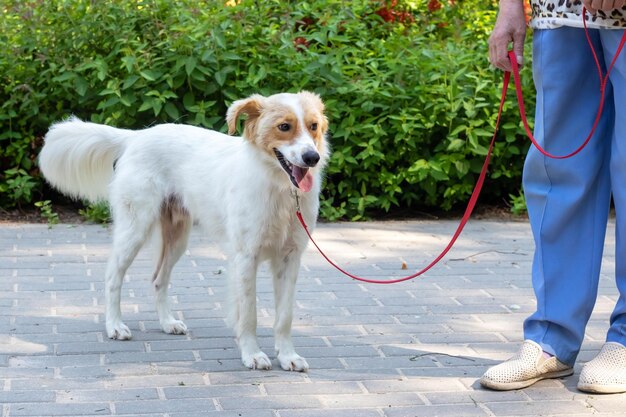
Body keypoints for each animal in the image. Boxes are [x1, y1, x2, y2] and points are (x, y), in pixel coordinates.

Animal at [39, 92, 330, 370]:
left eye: (313, 126)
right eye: (284, 126)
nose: (312, 157)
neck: (280, 190)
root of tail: (137, 136)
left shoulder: (290, 258)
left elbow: (284, 317)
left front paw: (288, 356)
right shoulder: (246, 257)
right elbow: (249, 315)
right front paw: (253, 355)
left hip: (177, 239)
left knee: (158, 279)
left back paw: (167, 322)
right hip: (135, 229)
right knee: (113, 277)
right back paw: (115, 326)